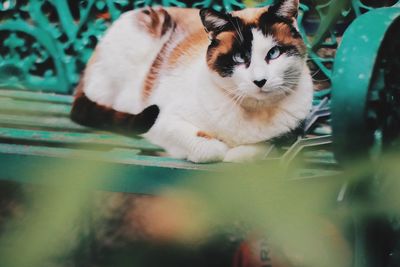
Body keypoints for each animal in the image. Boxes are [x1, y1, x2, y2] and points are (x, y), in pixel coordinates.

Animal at [71, 0, 312, 163]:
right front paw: (219, 150)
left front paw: (238, 152)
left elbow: (258, 149)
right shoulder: (164, 121)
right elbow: (210, 149)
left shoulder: (291, 133)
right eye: (239, 58)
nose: (260, 80)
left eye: (274, 53)